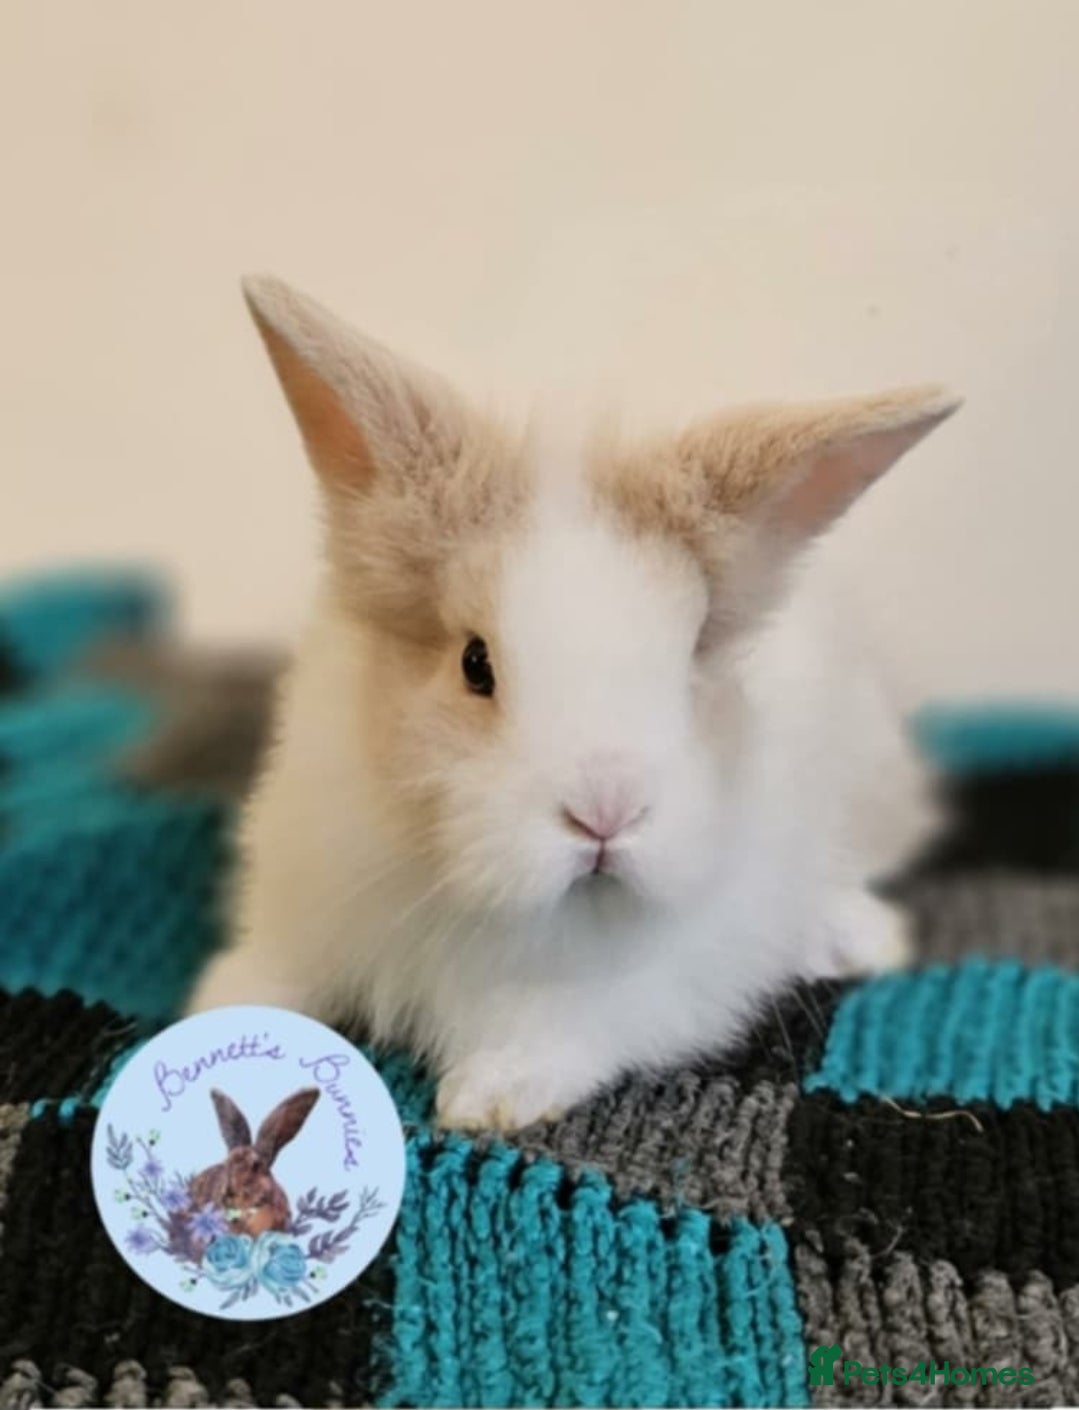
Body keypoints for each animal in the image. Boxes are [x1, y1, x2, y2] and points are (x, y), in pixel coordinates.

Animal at [187, 275, 960, 1133]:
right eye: (475, 664)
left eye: (690, 656)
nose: (605, 813)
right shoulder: (302, 898)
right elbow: (270, 977)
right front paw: (206, 1019)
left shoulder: (650, 987)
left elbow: (561, 1028)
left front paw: (489, 1096)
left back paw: (862, 939)